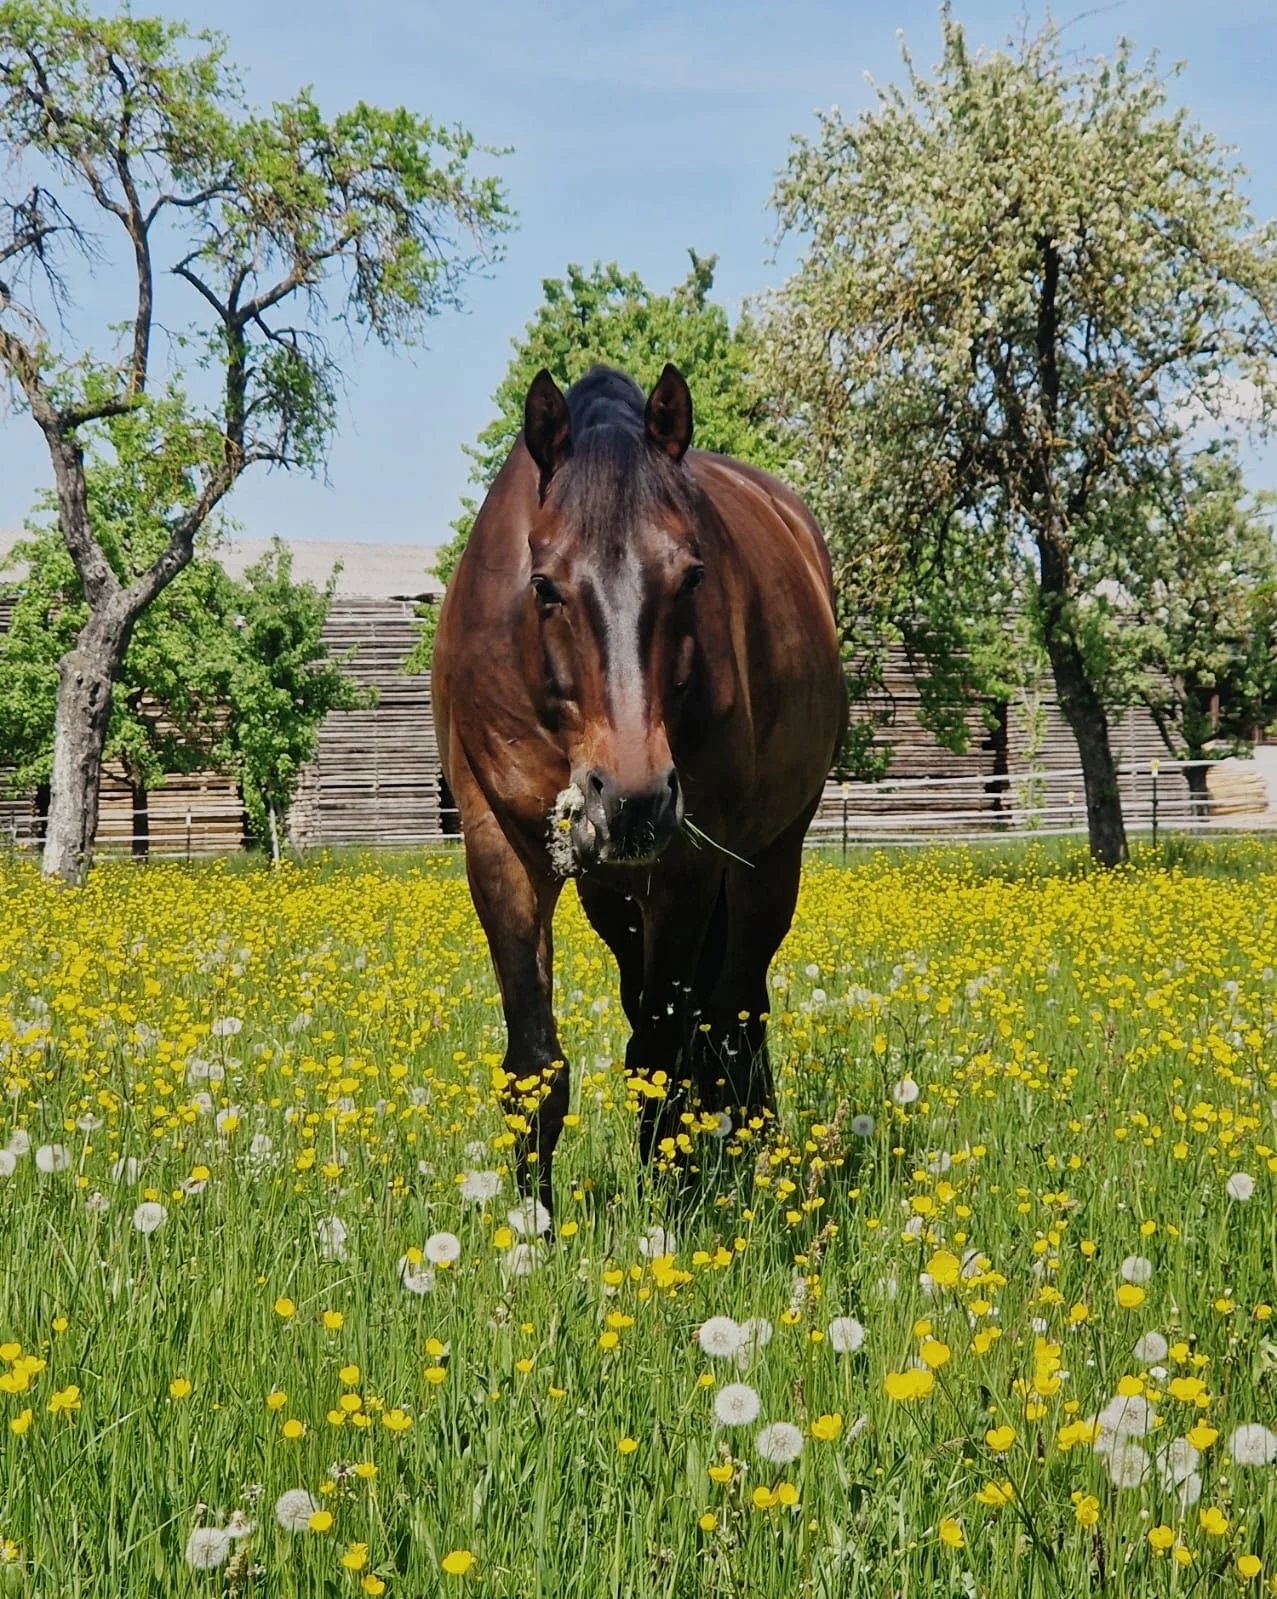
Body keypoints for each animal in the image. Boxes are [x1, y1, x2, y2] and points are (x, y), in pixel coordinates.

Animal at [431, 362, 845, 1217]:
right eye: (544, 585)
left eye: (690, 575)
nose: (631, 799)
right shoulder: (500, 848)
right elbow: (535, 1066)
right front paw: (532, 1222)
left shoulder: (687, 867)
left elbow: (659, 1052)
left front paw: (671, 1211)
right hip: (615, 893)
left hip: (766, 864)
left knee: (735, 1012)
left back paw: (753, 1150)